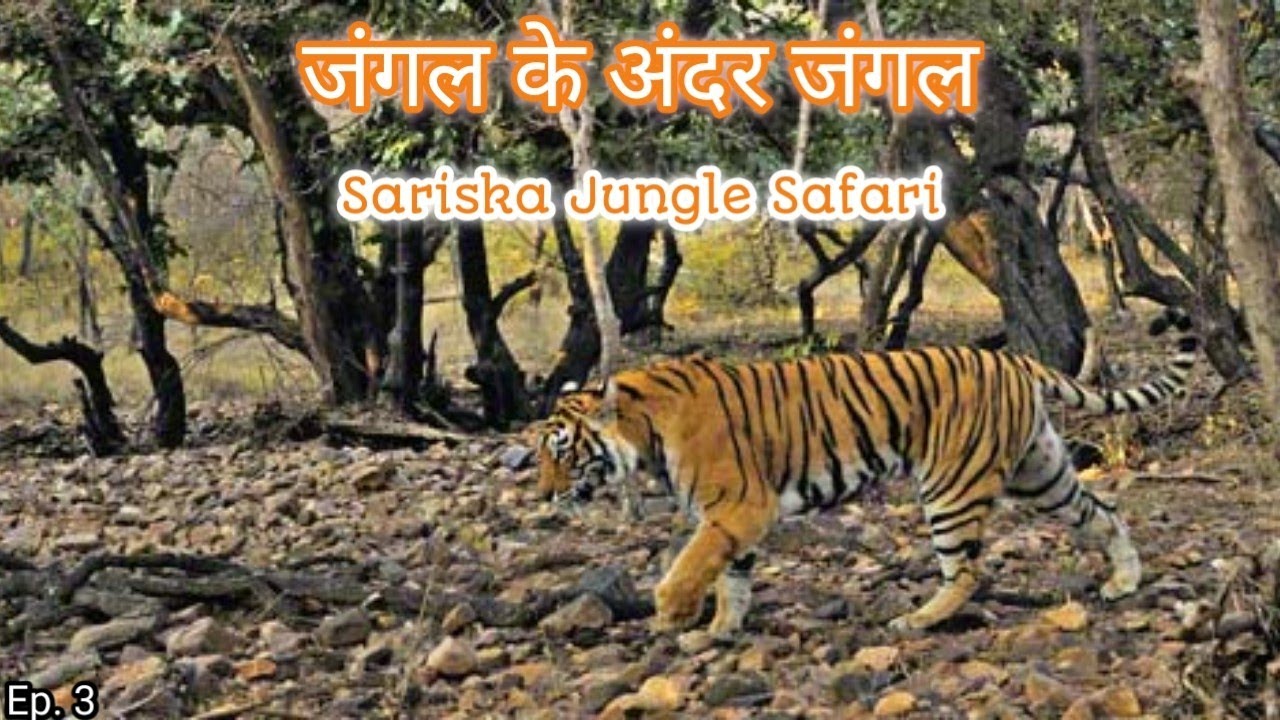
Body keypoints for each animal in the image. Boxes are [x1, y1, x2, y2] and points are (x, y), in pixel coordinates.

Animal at [536, 310, 1197, 636]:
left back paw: (916, 619)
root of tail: (1013, 358)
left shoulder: (739, 505)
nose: (543, 495)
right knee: (1102, 511)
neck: (644, 429)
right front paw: (719, 631)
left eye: (561, 452)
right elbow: (734, 578)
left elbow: (695, 563)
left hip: (951, 486)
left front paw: (672, 614)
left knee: (967, 570)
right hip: (1042, 472)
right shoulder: (737, 518)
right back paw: (1124, 581)